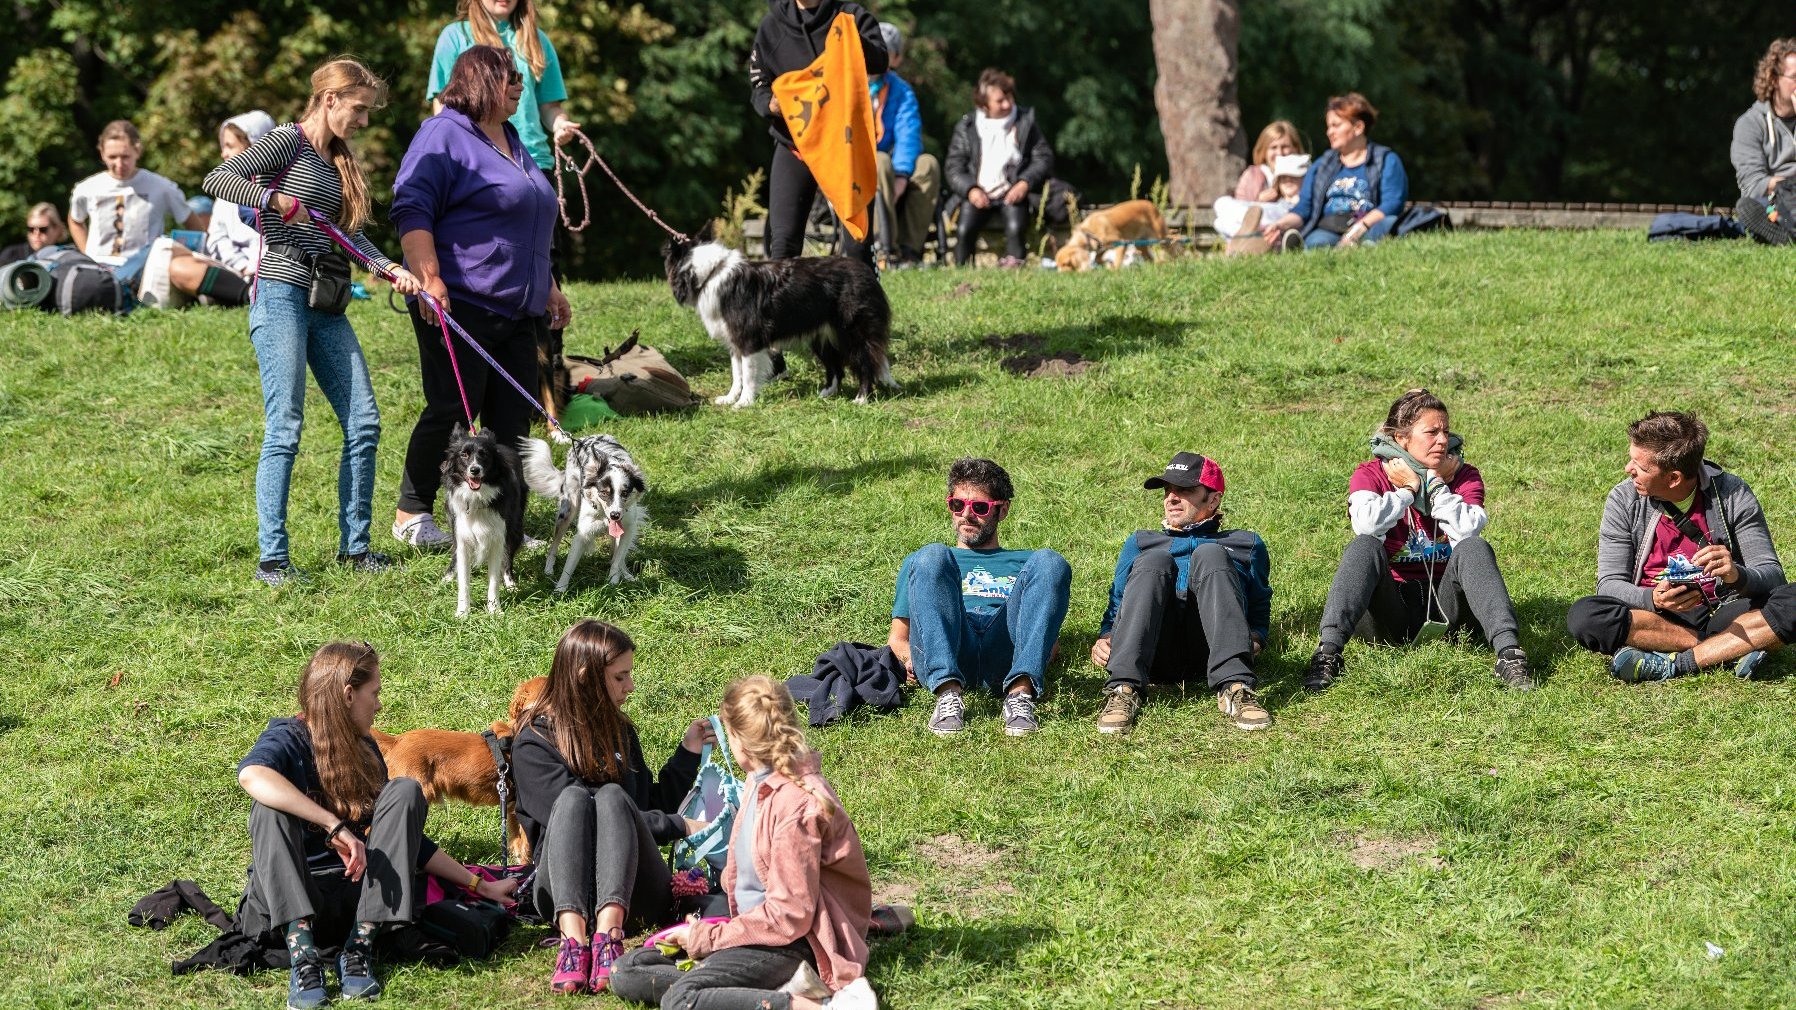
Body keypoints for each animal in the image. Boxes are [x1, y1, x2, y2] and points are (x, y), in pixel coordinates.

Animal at [441, 422, 524, 614]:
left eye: (484, 454)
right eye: (464, 454)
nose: (475, 469)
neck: (476, 498)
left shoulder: (498, 538)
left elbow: (494, 580)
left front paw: (495, 611)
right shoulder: (462, 538)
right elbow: (463, 582)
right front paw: (462, 613)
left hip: (515, 527)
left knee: (508, 559)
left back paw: (511, 585)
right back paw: (447, 578)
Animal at [664, 221, 894, 406]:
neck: (712, 273)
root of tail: (866, 272)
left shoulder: (749, 340)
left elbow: (748, 374)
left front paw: (744, 403)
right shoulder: (734, 342)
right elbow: (737, 374)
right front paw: (729, 398)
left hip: (852, 332)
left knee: (866, 363)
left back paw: (861, 398)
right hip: (822, 336)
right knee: (836, 366)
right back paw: (827, 393)